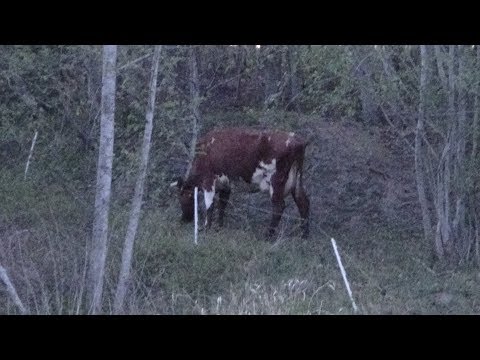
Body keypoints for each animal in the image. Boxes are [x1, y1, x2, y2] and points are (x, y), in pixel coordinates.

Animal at [171, 126, 310, 239]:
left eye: (181, 199)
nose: (184, 219)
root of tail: (297, 140)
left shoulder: (208, 181)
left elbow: (209, 206)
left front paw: (206, 229)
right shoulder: (225, 185)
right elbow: (222, 205)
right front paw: (219, 227)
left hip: (276, 180)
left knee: (279, 207)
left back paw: (268, 236)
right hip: (296, 178)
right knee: (303, 202)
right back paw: (304, 236)